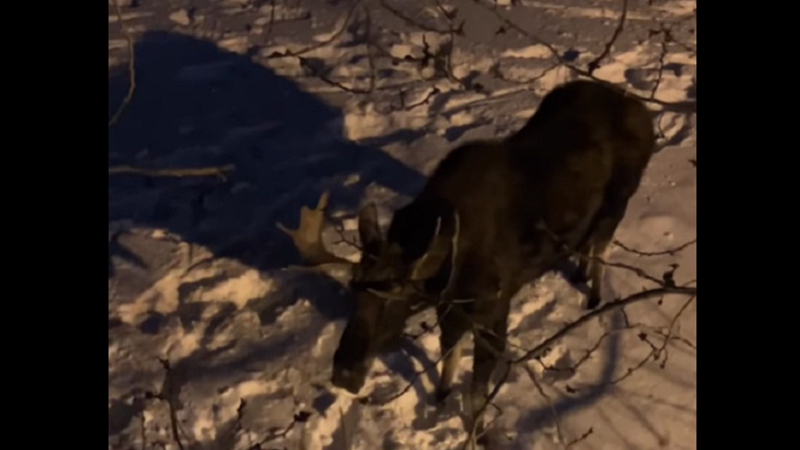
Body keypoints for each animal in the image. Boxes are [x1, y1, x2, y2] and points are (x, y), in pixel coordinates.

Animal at [277, 79, 656, 444]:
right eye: (355, 292)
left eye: (397, 300)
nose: (344, 373)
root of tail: (643, 113)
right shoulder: (450, 305)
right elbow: (448, 351)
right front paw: (441, 396)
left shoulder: (493, 307)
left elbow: (477, 393)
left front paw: (480, 434)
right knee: (587, 243)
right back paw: (579, 274)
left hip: (617, 203)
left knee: (602, 248)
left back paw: (594, 296)